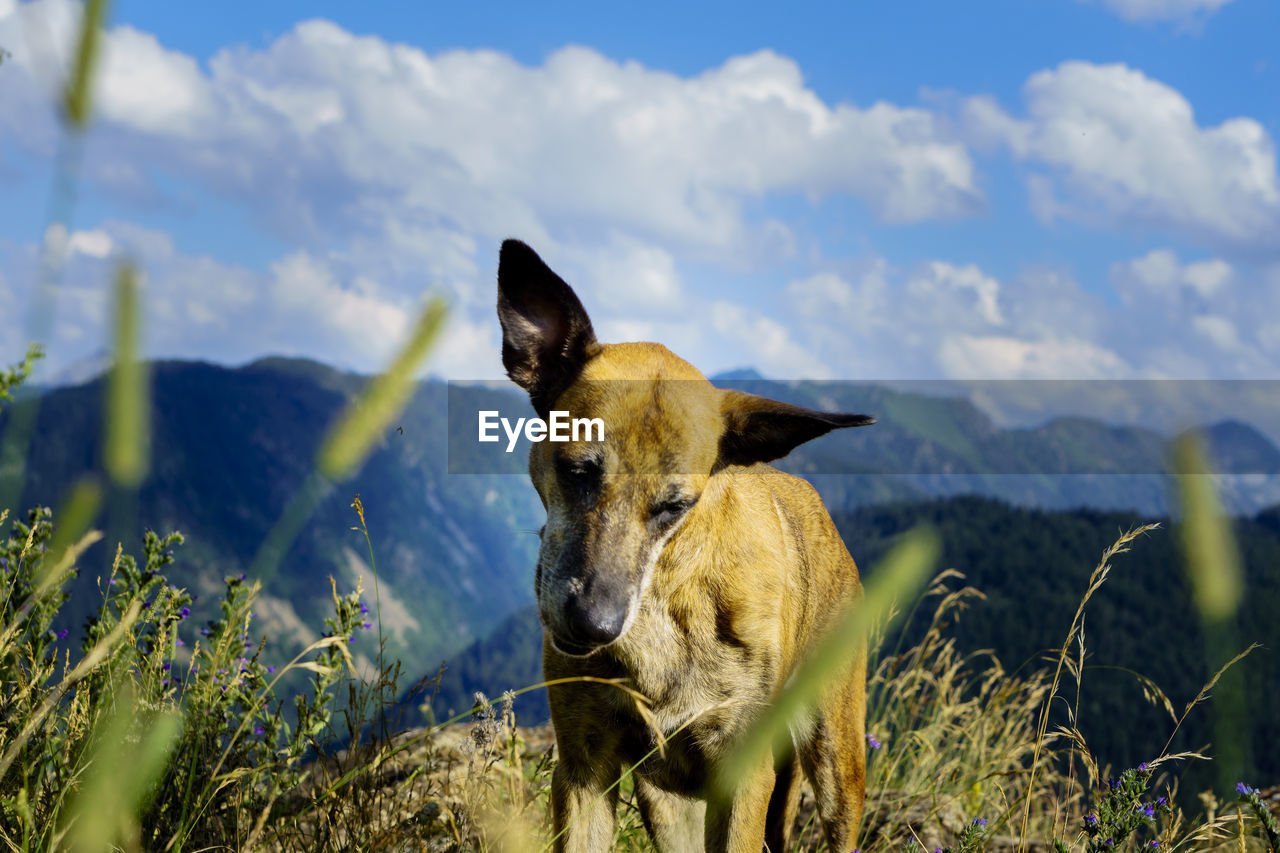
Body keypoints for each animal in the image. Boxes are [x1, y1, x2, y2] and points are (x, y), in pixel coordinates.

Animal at [494, 235, 875, 845]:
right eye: (577, 470)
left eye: (675, 506)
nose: (594, 625)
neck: (666, 598)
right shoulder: (583, 767)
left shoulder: (745, 777)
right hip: (668, 802)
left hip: (836, 755)